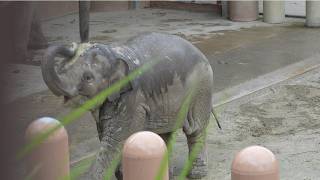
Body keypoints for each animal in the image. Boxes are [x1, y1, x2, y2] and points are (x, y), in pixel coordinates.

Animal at [40, 32, 215, 179]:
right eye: (62, 67)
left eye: (88, 77)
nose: (72, 46)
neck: (114, 53)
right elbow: (106, 136)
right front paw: (122, 174)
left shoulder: (131, 99)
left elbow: (114, 139)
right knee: (165, 133)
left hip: (201, 89)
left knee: (195, 129)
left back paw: (197, 174)